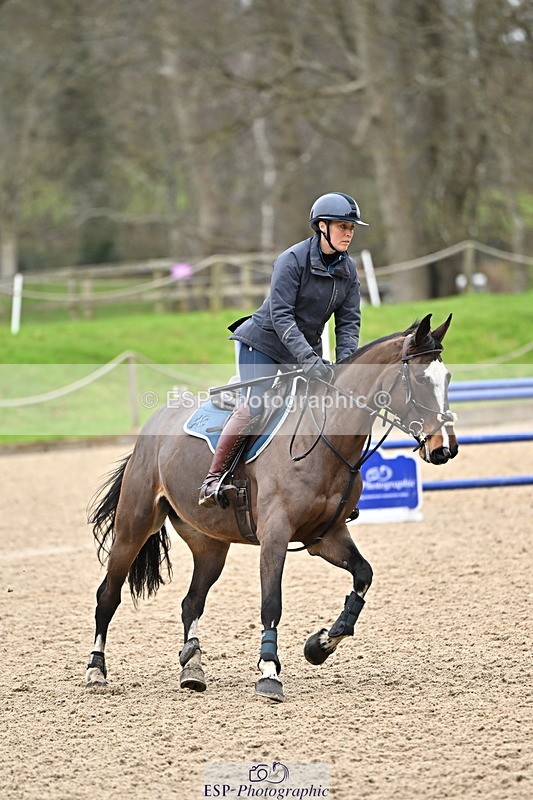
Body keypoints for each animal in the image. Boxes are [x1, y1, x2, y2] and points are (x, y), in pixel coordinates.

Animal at [86, 313, 458, 702]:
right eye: (420, 379)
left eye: (447, 377)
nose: (444, 448)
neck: (325, 436)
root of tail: (151, 427)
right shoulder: (275, 537)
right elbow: (272, 603)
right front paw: (269, 671)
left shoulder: (326, 536)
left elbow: (363, 575)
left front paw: (320, 644)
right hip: (134, 526)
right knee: (108, 595)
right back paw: (96, 671)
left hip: (209, 544)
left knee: (191, 602)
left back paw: (193, 668)